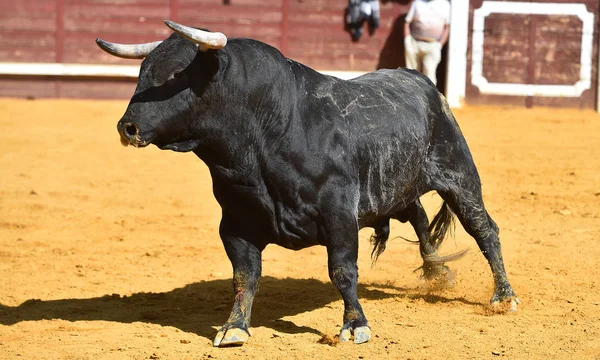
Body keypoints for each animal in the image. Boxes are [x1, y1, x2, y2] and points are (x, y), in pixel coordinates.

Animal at [96, 21, 516, 348]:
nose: (127, 127)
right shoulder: (234, 224)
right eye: (141, 73)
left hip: (459, 177)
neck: (266, 132)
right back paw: (436, 273)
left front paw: (355, 326)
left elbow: (342, 271)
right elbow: (244, 275)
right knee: (418, 216)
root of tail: (420, 81)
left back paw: (503, 296)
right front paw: (234, 328)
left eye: (173, 76)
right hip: (397, 185)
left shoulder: (339, 216)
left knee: (485, 230)